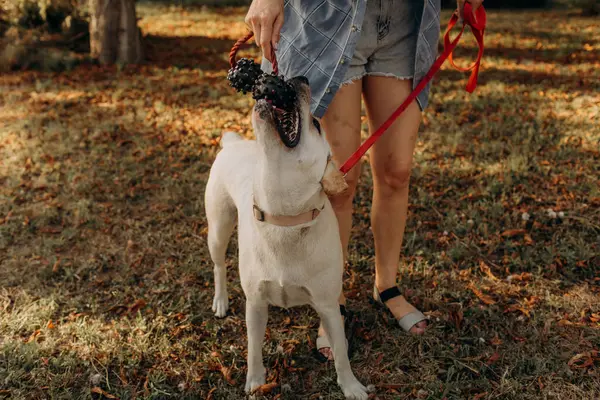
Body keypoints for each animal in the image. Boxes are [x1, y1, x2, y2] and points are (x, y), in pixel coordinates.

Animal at [204, 76, 368, 398]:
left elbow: (341, 353)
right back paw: (221, 300)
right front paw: (256, 381)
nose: (299, 79)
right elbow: (254, 348)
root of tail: (235, 143)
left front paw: (350, 385)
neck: (285, 220)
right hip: (217, 228)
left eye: (316, 123)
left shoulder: (329, 306)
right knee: (218, 266)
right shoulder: (255, 304)